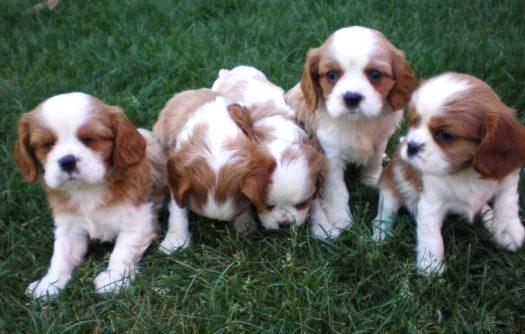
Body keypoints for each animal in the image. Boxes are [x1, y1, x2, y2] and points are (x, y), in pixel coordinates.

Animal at [13, 92, 166, 298]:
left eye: (89, 139)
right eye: (47, 144)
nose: (67, 161)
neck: (86, 189)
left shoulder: (137, 222)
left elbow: (121, 251)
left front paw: (113, 280)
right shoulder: (69, 227)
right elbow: (61, 255)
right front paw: (49, 283)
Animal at [211, 65, 326, 232]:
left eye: (302, 204)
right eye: (266, 206)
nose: (285, 224)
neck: (278, 135)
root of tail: (236, 69)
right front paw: (244, 224)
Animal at [284, 25, 416, 237]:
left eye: (375, 75)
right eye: (331, 75)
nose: (352, 98)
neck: (357, 122)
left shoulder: (381, 138)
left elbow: (374, 159)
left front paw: (371, 180)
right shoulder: (331, 154)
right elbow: (338, 190)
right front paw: (341, 218)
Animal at [370, 72, 524, 274]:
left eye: (445, 135)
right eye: (413, 123)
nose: (410, 146)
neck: (464, 170)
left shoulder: (505, 174)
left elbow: (507, 202)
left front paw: (509, 231)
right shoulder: (430, 202)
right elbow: (431, 235)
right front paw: (430, 266)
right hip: (391, 183)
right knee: (386, 211)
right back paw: (381, 235)